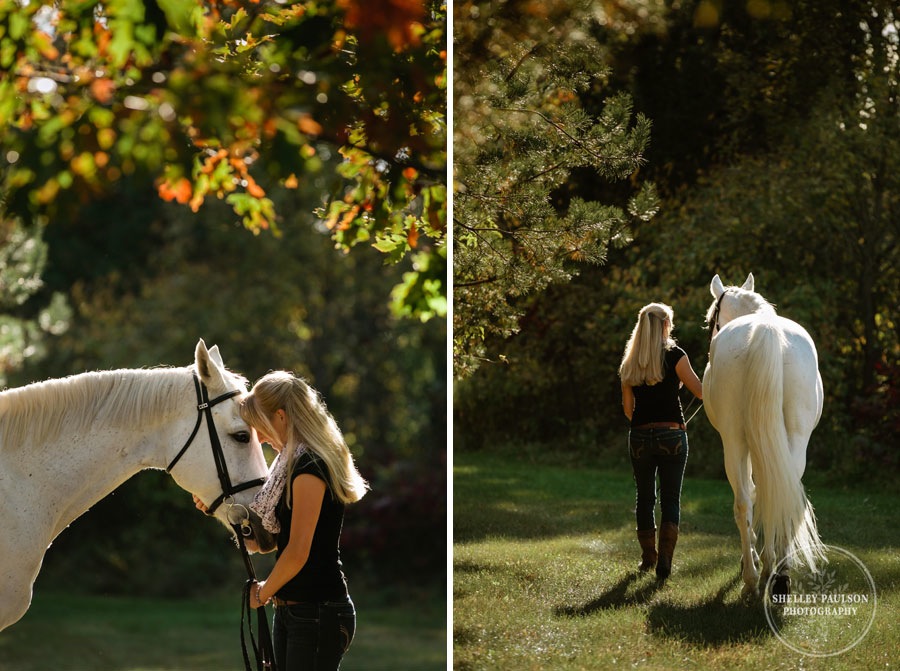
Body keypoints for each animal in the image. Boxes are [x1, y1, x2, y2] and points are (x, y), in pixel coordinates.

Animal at [708, 272, 828, 600]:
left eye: (712, 319)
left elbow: (751, 494)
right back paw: (779, 576)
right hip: (795, 439)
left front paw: (753, 557)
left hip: (734, 441)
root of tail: (766, 330)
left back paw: (752, 578)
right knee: (783, 494)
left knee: (743, 502)